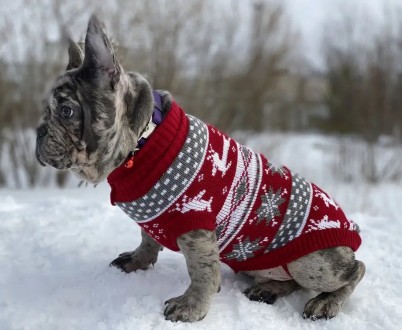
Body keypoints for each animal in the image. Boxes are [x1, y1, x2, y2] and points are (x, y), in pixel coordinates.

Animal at [36, 16, 366, 322]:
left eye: (66, 111)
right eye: (46, 111)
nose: (39, 131)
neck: (143, 140)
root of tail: (352, 234)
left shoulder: (196, 226)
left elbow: (202, 272)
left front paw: (191, 307)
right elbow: (147, 238)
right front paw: (139, 260)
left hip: (310, 263)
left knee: (355, 271)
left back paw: (326, 301)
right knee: (291, 282)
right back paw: (268, 289)